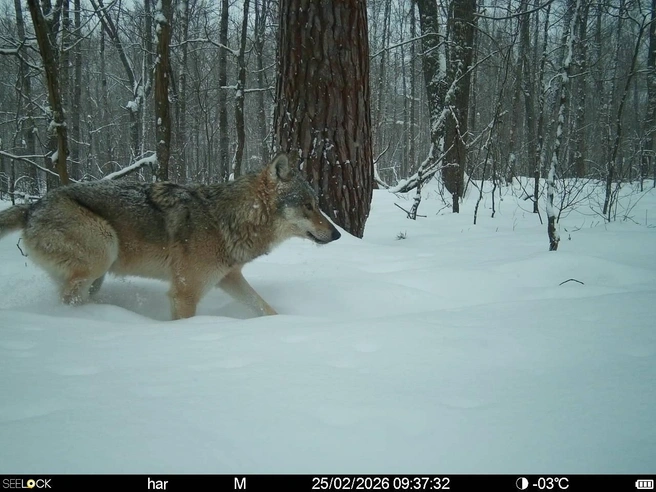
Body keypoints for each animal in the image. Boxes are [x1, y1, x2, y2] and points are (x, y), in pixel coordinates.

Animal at [0, 153, 341, 319]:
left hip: (97, 274)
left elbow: (263, 307)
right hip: (103, 251)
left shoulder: (229, 278)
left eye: (317, 204)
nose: (337, 234)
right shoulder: (185, 293)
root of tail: (32, 206)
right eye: (308, 206)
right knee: (69, 301)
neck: (227, 219)